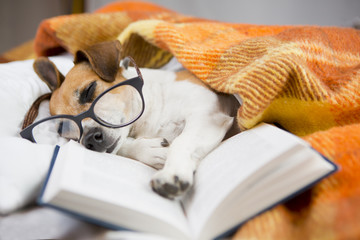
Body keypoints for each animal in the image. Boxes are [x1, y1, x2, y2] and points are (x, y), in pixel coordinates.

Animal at [32, 40, 238, 199]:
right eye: (65, 130)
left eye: (89, 91)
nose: (89, 139)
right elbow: (123, 146)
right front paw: (149, 150)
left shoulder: (207, 115)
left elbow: (182, 142)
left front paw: (173, 174)